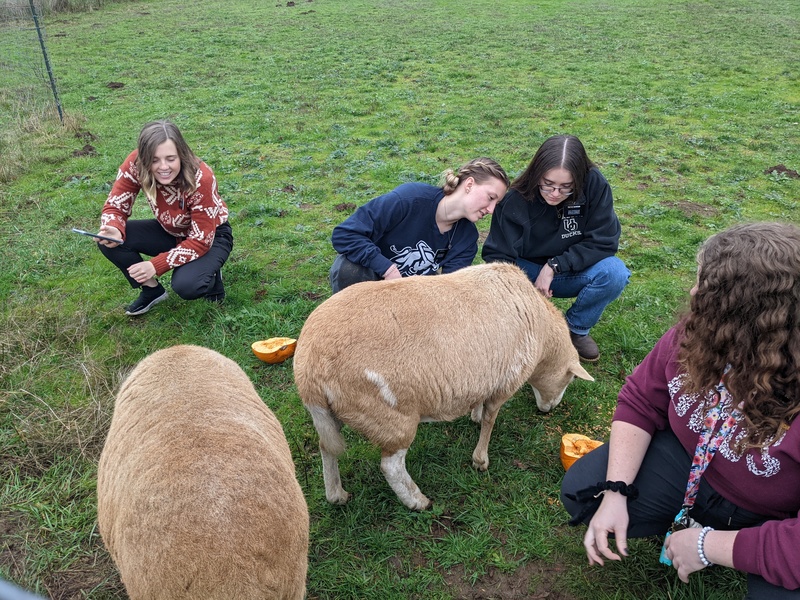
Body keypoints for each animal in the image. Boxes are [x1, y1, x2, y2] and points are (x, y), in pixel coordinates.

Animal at [294, 262, 592, 510]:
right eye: (570, 378)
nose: (549, 409)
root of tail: (309, 368)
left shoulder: (486, 376)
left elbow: (481, 407)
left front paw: (474, 416)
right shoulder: (506, 381)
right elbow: (490, 419)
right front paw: (480, 460)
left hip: (338, 413)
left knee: (327, 448)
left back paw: (336, 495)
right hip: (391, 415)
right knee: (391, 466)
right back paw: (417, 501)